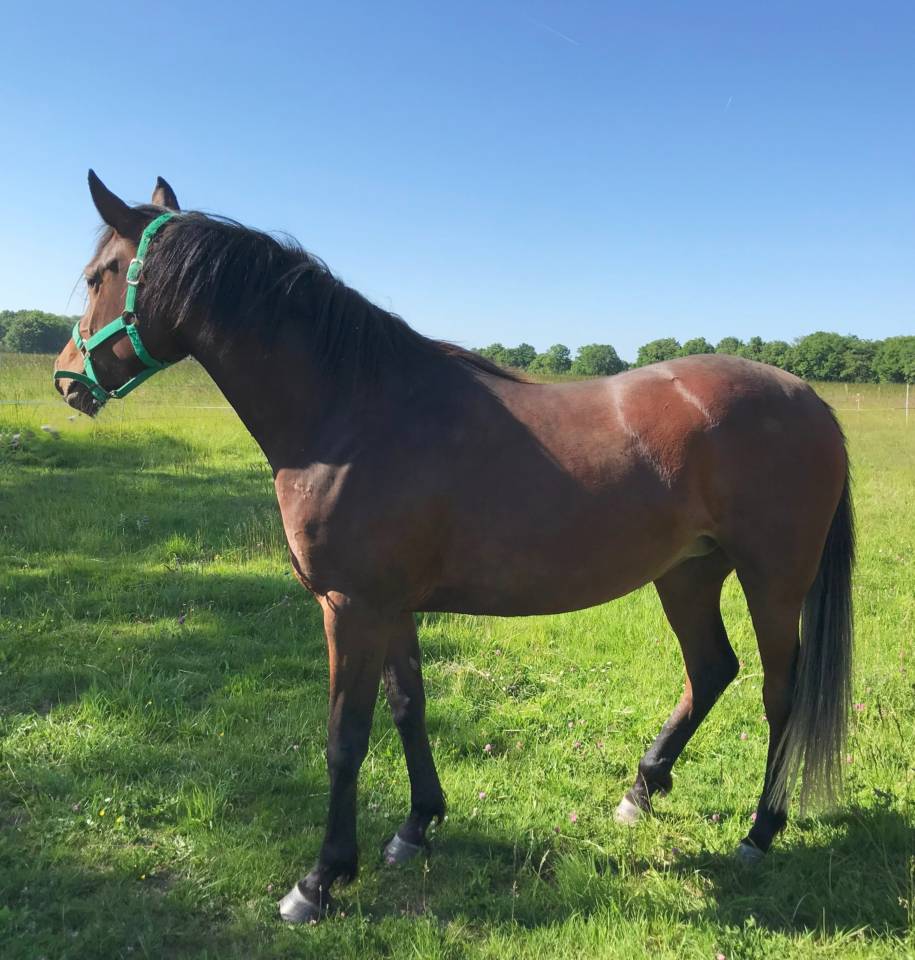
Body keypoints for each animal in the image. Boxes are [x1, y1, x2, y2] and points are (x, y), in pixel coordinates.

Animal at [53, 172, 854, 924]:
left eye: (97, 277)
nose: (67, 380)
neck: (354, 413)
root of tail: (806, 396)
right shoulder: (389, 607)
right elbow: (408, 704)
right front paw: (416, 826)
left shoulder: (350, 606)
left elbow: (345, 737)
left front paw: (320, 879)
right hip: (687, 573)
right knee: (711, 668)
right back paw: (640, 789)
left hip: (772, 578)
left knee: (778, 694)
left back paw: (760, 832)